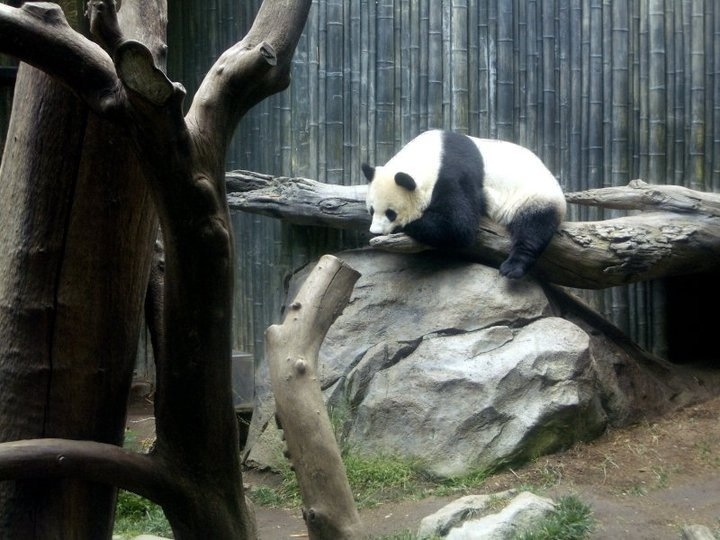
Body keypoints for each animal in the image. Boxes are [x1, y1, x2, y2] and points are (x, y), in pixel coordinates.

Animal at [362, 130, 564, 278]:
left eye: (391, 213)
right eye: (371, 210)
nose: (375, 232)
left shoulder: (453, 173)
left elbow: (457, 226)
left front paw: (407, 225)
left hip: (533, 196)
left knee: (533, 228)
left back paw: (512, 267)